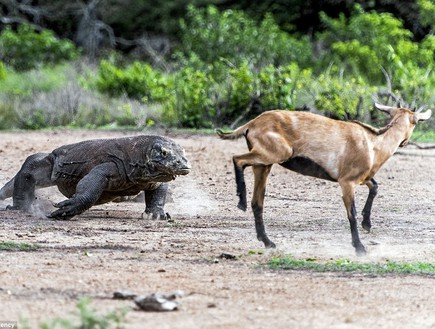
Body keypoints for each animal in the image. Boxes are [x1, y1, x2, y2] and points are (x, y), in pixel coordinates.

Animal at [218, 104, 432, 255]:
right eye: (416, 122)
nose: (404, 143)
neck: (373, 144)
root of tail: (251, 124)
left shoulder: (362, 178)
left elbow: (375, 187)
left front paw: (367, 224)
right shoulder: (347, 182)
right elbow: (351, 214)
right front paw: (359, 247)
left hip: (264, 165)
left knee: (258, 202)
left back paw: (267, 241)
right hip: (275, 154)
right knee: (238, 159)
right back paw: (241, 202)